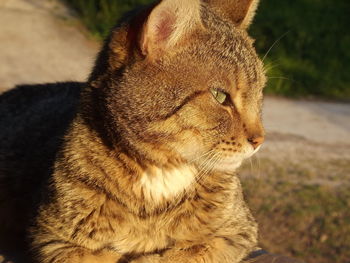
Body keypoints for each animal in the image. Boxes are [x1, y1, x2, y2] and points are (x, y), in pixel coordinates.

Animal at [0, 0, 266, 263]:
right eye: (220, 96)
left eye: (260, 94)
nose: (259, 139)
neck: (160, 174)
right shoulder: (52, 238)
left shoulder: (237, 232)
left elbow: (183, 254)